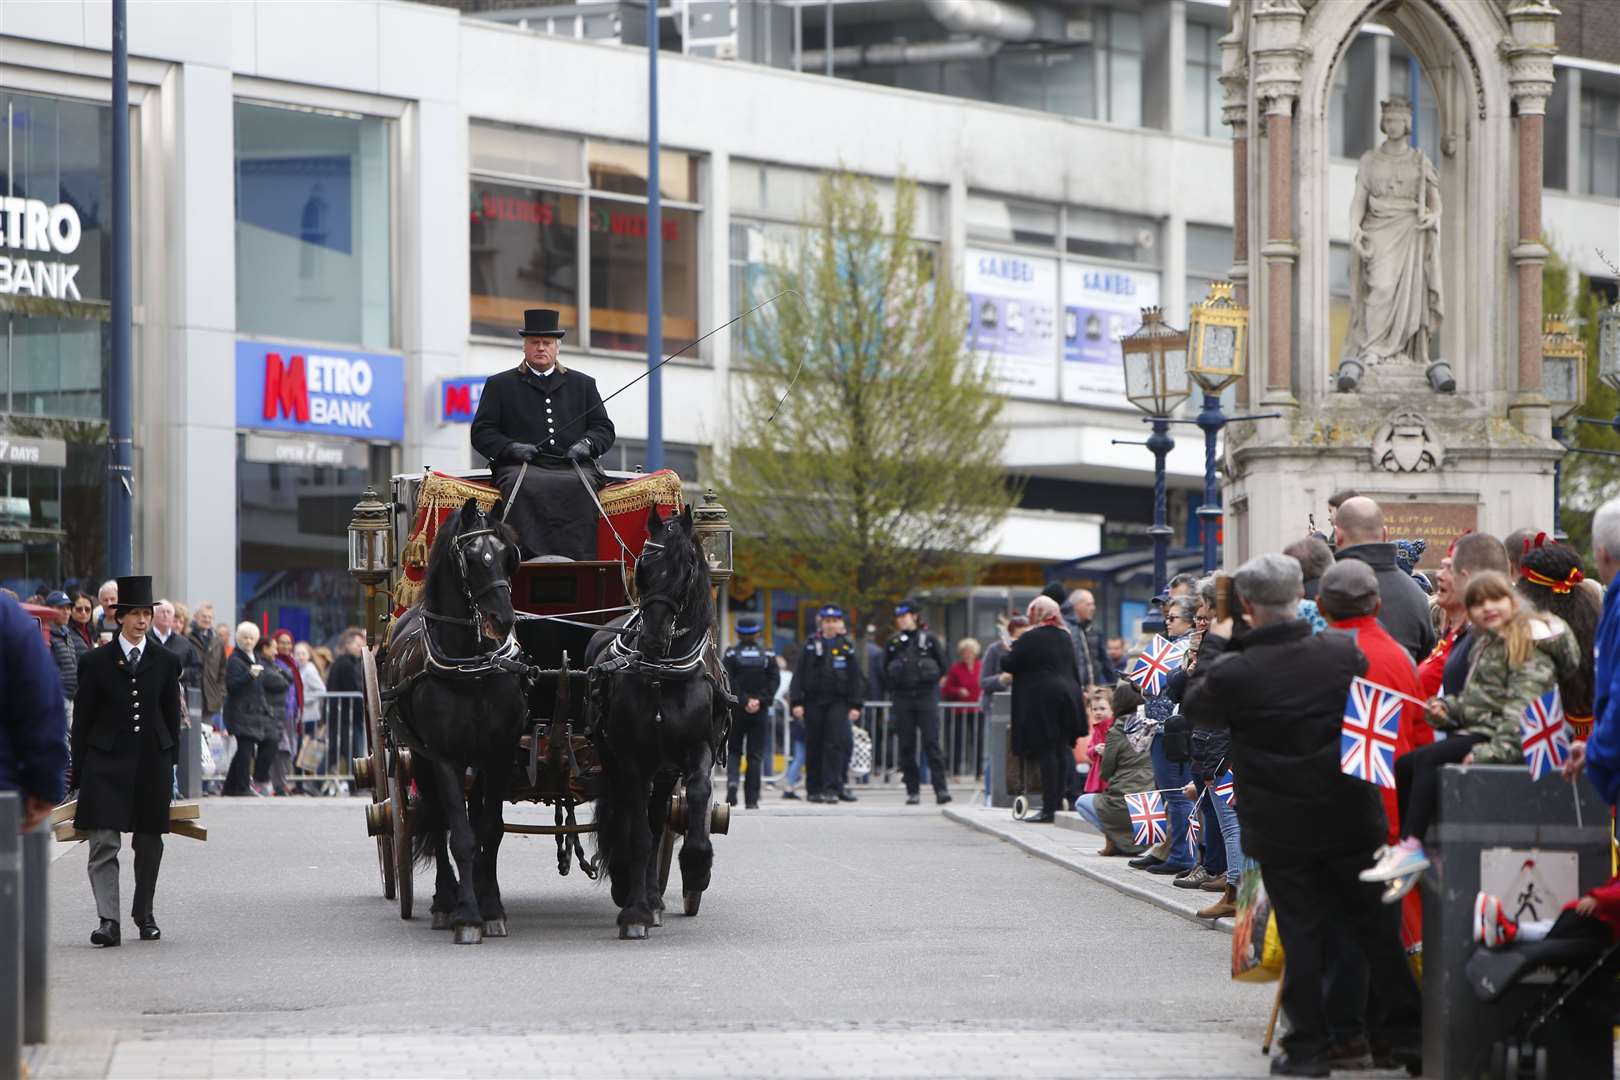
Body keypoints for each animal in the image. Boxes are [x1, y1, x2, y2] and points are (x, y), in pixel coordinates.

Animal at [385, 498, 524, 945]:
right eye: (474, 559)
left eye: (508, 557)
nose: (502, 620)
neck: (471, 668)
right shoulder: (444, 757)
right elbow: (459, 835)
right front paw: (467, 916)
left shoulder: (499, 754)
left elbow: (490, 830)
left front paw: (491, 907)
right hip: (420, 758)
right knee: (438, 819)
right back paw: (445, 901)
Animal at [586, 505, 725, 939]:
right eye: (644, 566)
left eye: (687, 567)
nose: (650, 639)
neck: (664, 674)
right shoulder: (631, 760)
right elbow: (638, 832)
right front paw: (635, 911)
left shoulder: (699, 750)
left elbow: (697, 798)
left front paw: (696, 868)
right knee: (636, 818)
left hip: (664, 771)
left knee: (661, 813)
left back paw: (654, 894)